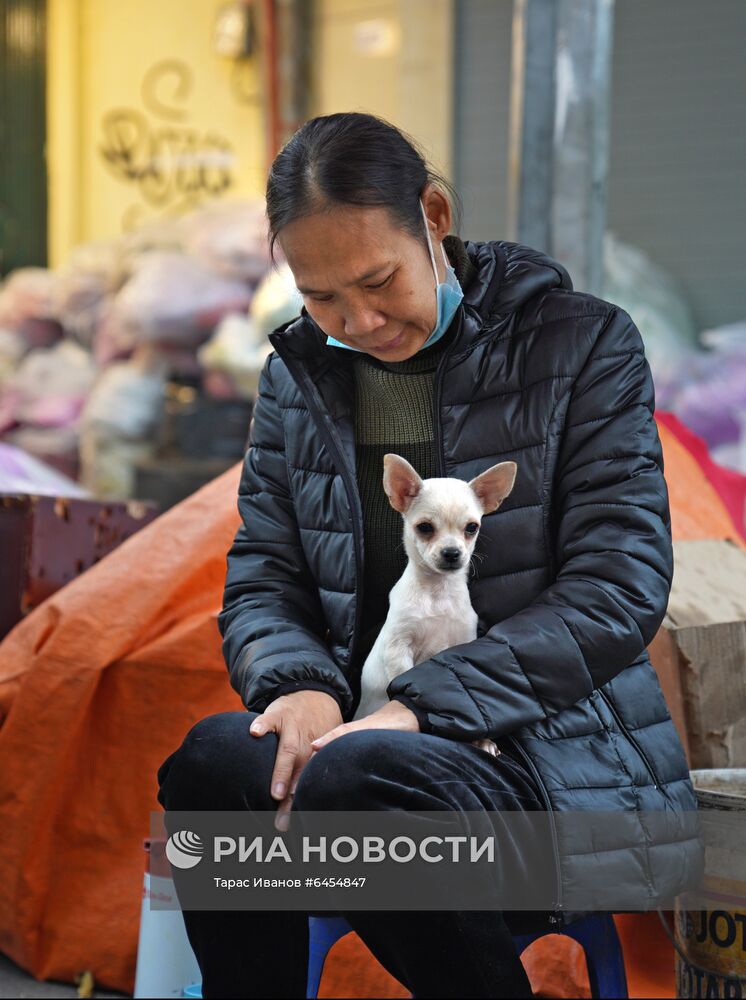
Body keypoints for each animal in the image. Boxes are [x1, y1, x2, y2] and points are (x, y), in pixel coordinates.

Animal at [352, 450, 516, 752]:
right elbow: (401, 679)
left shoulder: (460, 643)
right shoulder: (399, 649)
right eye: (425, 528)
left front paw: (481, 739)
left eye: (471, 528)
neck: (438, 593)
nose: (452, 553)